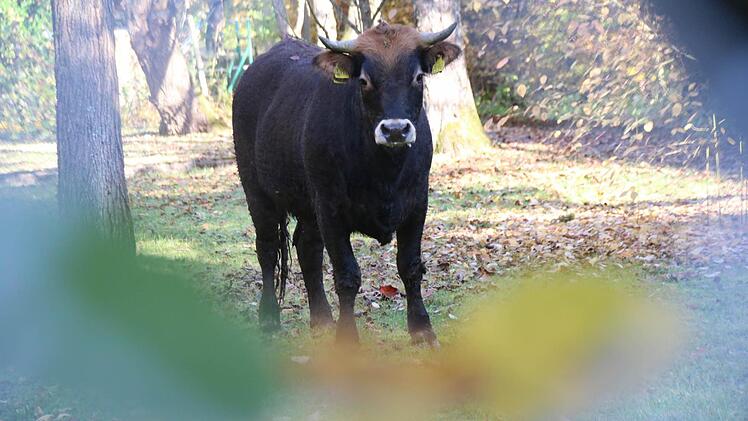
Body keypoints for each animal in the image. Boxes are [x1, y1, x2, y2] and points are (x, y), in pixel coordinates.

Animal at [232, 22, 462, 346]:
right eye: (364, 80)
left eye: (418, 77)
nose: (394, 130)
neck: (384, 172)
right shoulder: (331, 211)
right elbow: (347, 276)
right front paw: (347, 340)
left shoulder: (417, 205)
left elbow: (410, 267)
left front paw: (421, 328)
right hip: (258, 193)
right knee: (267, 249)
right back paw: (268, 317)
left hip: (308, 205)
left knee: (307, 248)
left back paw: (322, 319)